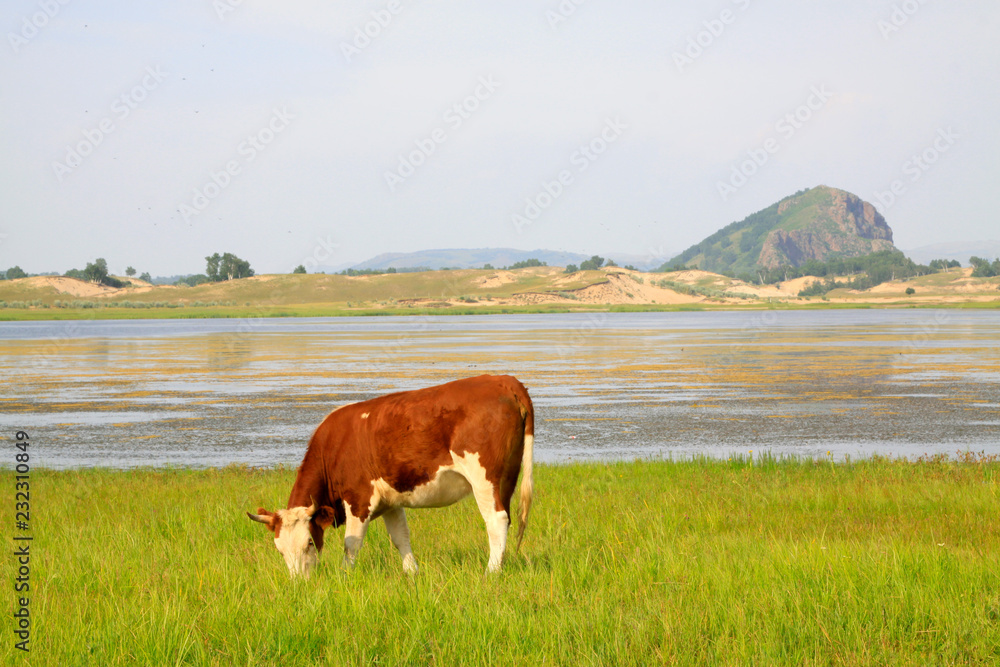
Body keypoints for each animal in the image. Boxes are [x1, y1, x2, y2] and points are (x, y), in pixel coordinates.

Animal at [247, 376, 536, 580]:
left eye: (309, 541)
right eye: (279, 549)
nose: (300, 583)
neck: (334, 445)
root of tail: (504, 379)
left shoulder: (359, 498)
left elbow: (351, 543)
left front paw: (344, 577)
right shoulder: (391, 502)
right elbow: (400, 537)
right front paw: (412, 573)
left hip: (484, 478)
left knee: (496, 520)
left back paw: (491, 572)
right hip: (507, 478)